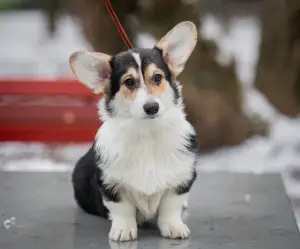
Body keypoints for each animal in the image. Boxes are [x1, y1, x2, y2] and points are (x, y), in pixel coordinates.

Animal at [69, 21, 198, 241]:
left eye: (157, 77)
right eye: (129, 82)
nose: (152, 108)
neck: (147, 133)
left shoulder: (181, 179)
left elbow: (170, 206)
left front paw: (174, 226)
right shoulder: (110, 183)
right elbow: (123, 208)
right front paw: (123, 230)